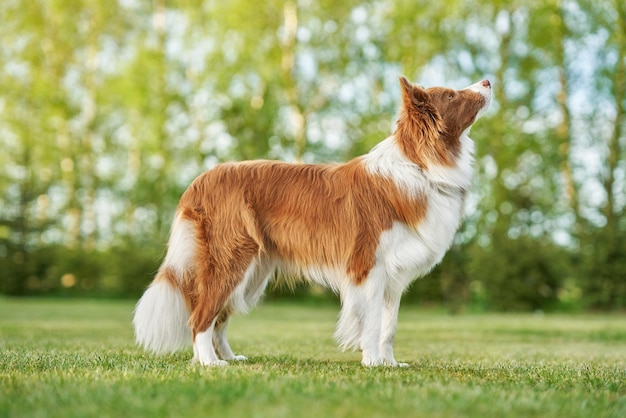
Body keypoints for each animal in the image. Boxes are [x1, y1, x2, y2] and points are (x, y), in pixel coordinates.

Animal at [134, 76, 490, 368]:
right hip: (231, 260)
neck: (421, 166)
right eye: (451, 95)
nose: (487, 81)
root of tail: (200, 181)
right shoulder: (368, 266)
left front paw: (389, 363)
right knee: (199, 317)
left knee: (217, 317)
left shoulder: (394, 275)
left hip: (251, 273)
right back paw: (210, 363)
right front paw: (373, 362)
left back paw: (228, 358)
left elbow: (389, 325)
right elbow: (372, 321)